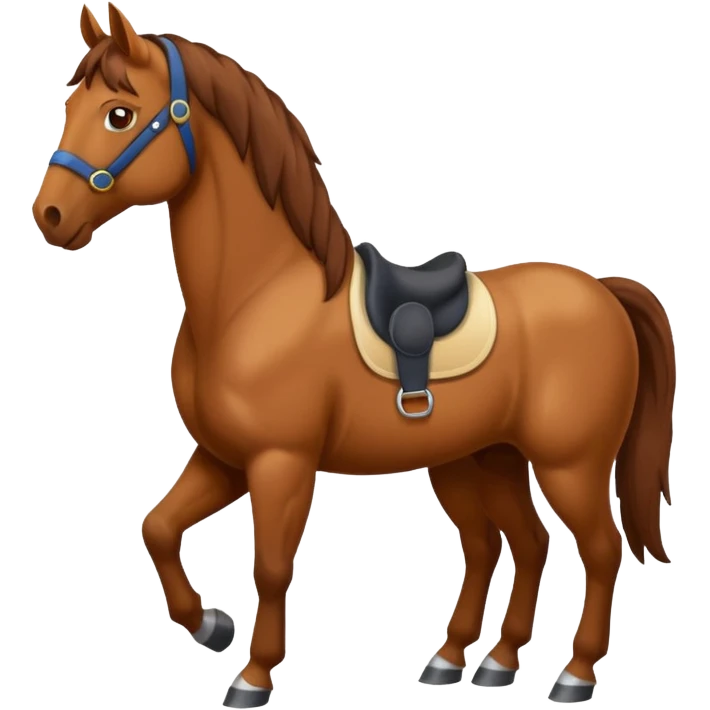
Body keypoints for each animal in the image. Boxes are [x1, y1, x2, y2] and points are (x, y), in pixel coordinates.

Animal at [32, 3, 677, 707]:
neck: (259, 296)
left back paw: (574, 674)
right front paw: (209, 624)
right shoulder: (223, 457)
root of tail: (603, 291)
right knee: (516, 545)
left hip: (569, 465)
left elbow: (272, 564)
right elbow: (157, 527)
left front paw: (253, 675)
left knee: (600, 550)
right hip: (482, 460)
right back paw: (478, 660)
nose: (50, 215)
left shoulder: (280, 462)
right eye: (69, 103)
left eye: (119, 114)